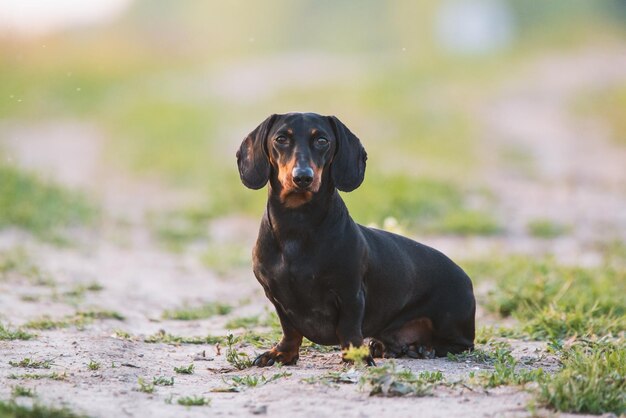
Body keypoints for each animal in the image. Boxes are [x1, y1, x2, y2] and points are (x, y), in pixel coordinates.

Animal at [235, 112, 472, 366]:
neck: (297, 224)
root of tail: (466, 278)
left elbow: (348, 327)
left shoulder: (350, 293)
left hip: (450, 321)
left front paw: (357, 356)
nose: (303, 177)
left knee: (460, 344)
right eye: (281, 139)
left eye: (322, 140)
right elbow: (290, 329)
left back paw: (422, 348)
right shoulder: (277, 297)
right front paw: (282, 353)